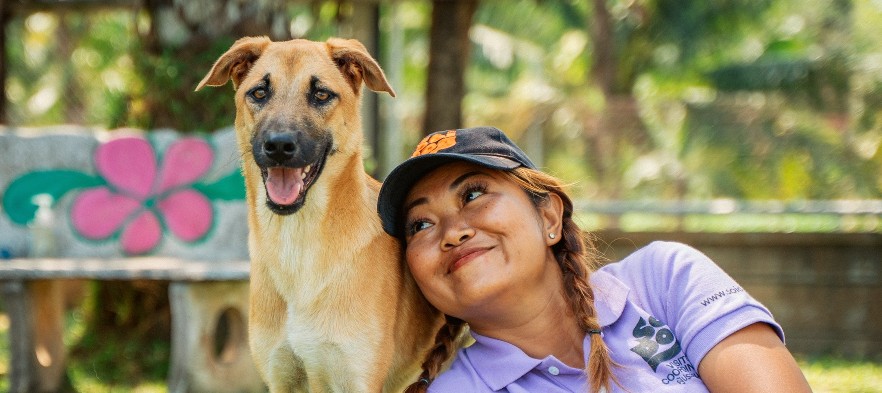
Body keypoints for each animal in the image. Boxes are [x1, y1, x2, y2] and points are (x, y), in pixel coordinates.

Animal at [193, 36, 440, 392]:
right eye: (259, 92)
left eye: (321, 94)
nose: (279, 146)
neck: (298, 244)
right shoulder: (282, 377)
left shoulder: (357, 377)